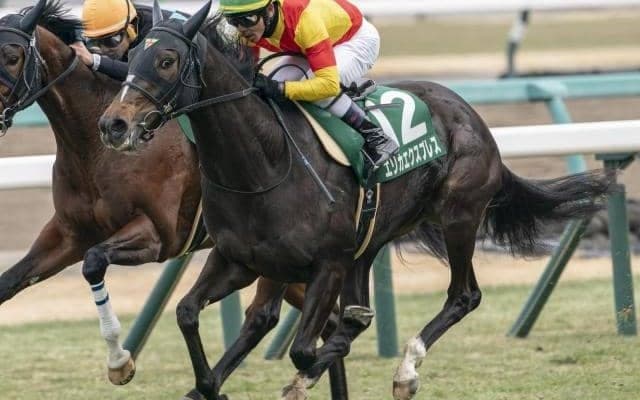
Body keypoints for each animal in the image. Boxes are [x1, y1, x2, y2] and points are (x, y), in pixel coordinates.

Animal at [0, 1, 348, 397]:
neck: (93, 146)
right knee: (321, 321)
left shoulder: (158, 235)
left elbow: (93, 262)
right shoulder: (68, 234)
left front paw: (120, 363)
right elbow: (10, 282)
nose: (114, 128)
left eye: (11, 56)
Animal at [99, 1, 612, 399]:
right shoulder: (238, 259)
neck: (266, 162)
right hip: (369, 241)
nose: (114, 124)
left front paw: (302, 379)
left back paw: (406, 371)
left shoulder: (326, 264)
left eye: (167, 60)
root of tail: (473, 117)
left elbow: (304, 350)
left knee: (464, 295)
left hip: (459, 216)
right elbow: (187, 313)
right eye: (132, 57)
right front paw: (204, 383)